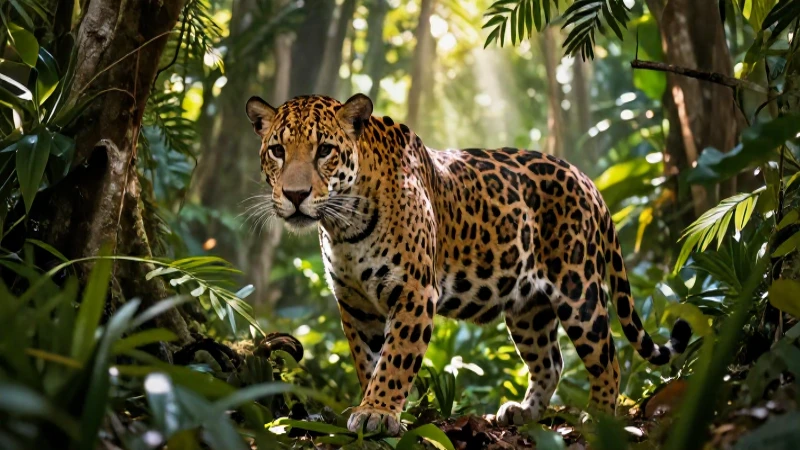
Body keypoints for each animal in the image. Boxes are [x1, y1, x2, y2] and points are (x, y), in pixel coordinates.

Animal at [245, 93, 692, 435]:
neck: (343, 225)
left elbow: (395, 359)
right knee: (551, 361)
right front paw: (370, 405)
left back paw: (599, 418)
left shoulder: (414, 292)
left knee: (607, 357)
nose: (296, 195)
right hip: (528, 309)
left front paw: (378, 412)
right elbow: (368, 361)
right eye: (277, 151)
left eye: (324, 151)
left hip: (578, 289)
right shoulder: (356, 305)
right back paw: (523, 412)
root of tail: (589, 182)